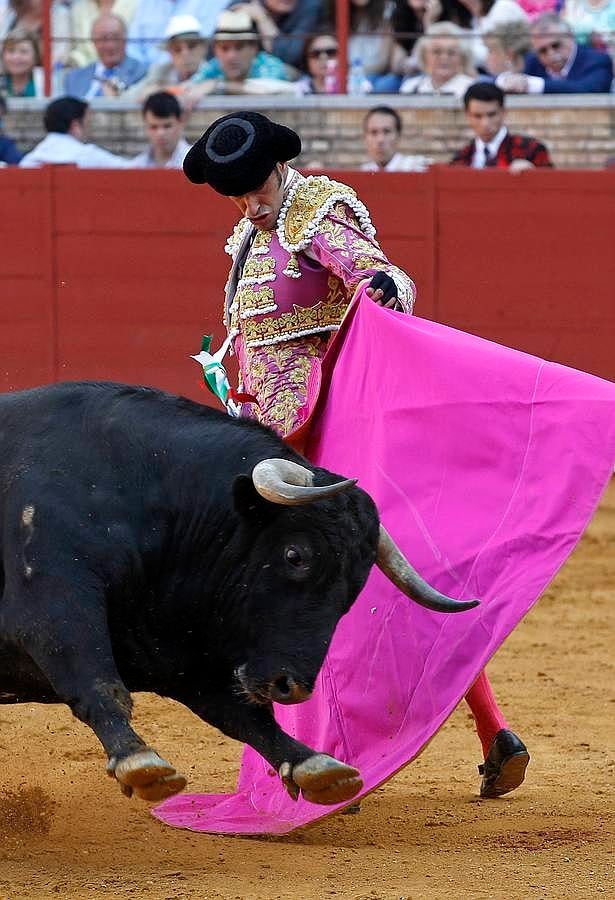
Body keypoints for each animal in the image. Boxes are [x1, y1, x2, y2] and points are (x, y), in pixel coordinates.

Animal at [0, 384, 478, 804]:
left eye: (354, 590)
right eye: (295, 555)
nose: (291, 686)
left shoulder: (186, 655)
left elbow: (245, 716)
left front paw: (316, 767)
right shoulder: (53, 602)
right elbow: (96, 678)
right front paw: (140, 763)